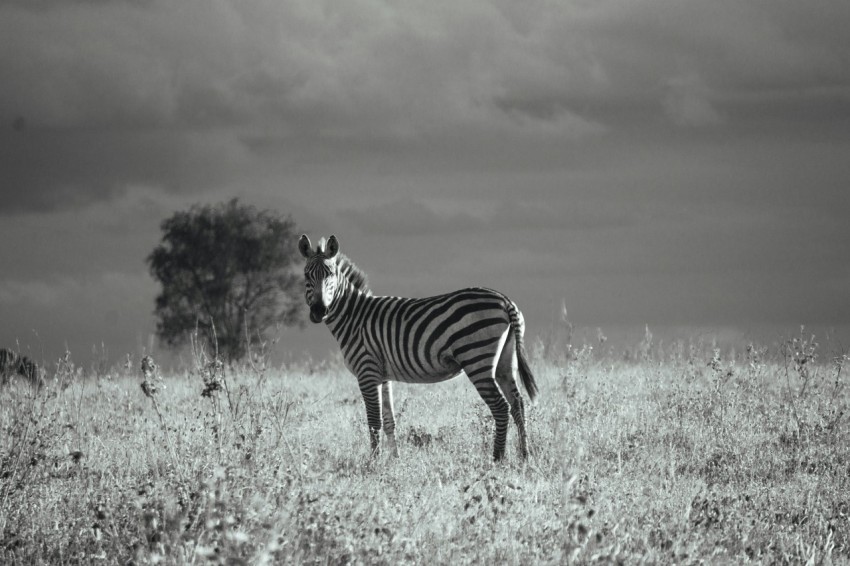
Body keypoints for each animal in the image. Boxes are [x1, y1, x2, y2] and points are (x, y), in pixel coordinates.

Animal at [298, 235, 536, 462]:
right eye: (307, 276)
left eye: (330, 275)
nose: (319, 311)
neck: (354, 317)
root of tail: (505, 300)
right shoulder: (383, 376)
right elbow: (389, 420)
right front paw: (395, 460)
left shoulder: (367, 371)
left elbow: (373, 421)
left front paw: (373, 462)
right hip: (505, 362)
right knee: (518, 404)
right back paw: (525, 457)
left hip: (477, 358)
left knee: (500, 407)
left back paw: (497, 460)